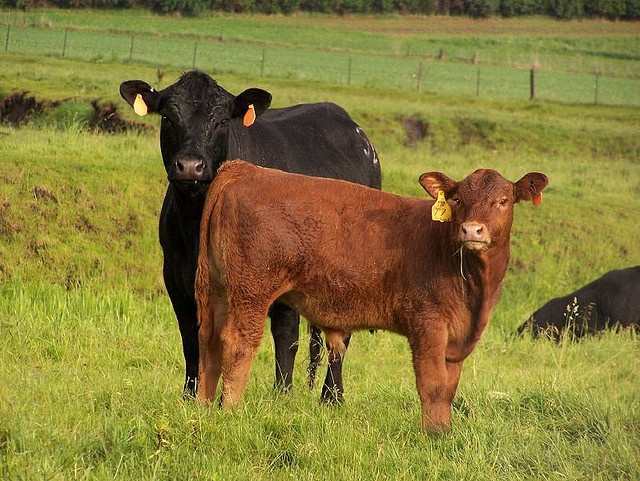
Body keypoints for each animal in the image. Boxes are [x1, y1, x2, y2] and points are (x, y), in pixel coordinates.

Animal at [119, 70, 380, 402]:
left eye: (222, 121)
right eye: (168, 117)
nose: (190, 166)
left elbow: (283, 335)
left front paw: (280, 396)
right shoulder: (177, 276)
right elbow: (191, 337)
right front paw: (191, 395)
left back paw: (330, 395)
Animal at [194, 159, 544, 430]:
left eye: (503, 200)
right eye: (457, 200)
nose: (472, 230)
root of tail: (245, 169)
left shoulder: (457, 337)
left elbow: (448, 389)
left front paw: (444, 431)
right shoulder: (428, 325)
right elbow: (432, 386)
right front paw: (433, 436)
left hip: (220, 292)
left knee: (208, 342)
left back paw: (204, 407)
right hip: (251, 292)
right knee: (238, 345)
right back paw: (231, 412)